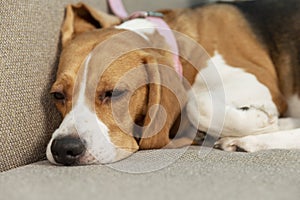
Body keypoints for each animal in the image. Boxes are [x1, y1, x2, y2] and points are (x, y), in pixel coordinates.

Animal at [45, 0, 298, 166]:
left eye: (113, 93)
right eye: (57, 95)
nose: (64, 149)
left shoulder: (261, 84)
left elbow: (197, 104)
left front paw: (260, 119)